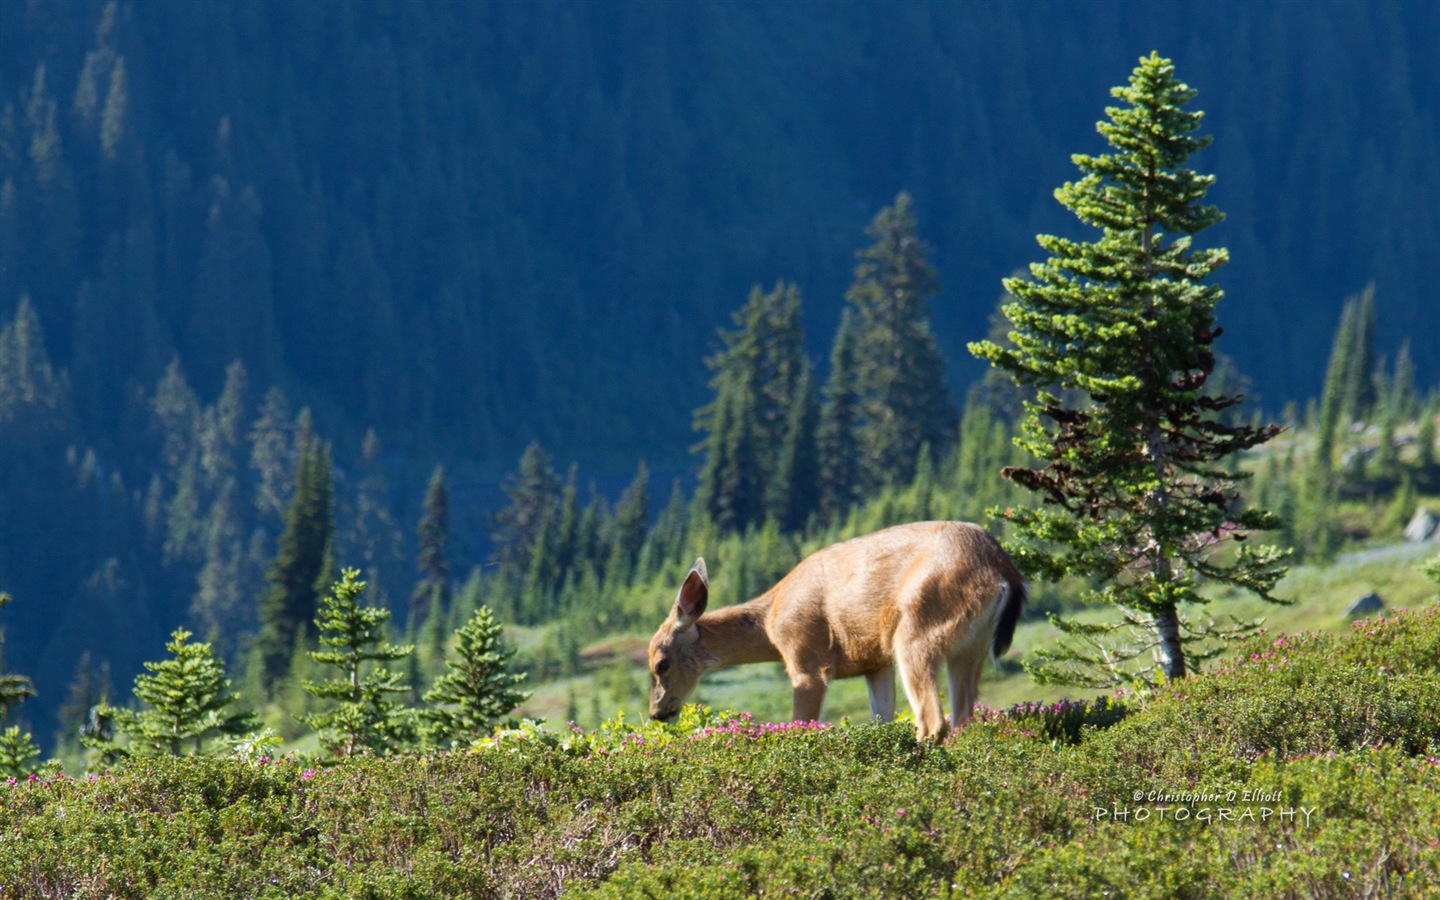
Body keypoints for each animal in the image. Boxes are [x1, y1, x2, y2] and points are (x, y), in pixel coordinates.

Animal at [648, 515, 1031, 743]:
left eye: (660, 664)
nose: (657, 714)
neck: (771, 621)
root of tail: (1003, 571)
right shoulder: (875, 663)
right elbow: (883, 718)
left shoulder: (806, 657)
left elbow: (801, 723)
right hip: (971, 647)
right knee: (964, 718)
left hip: (918, 629)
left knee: (933, 720)